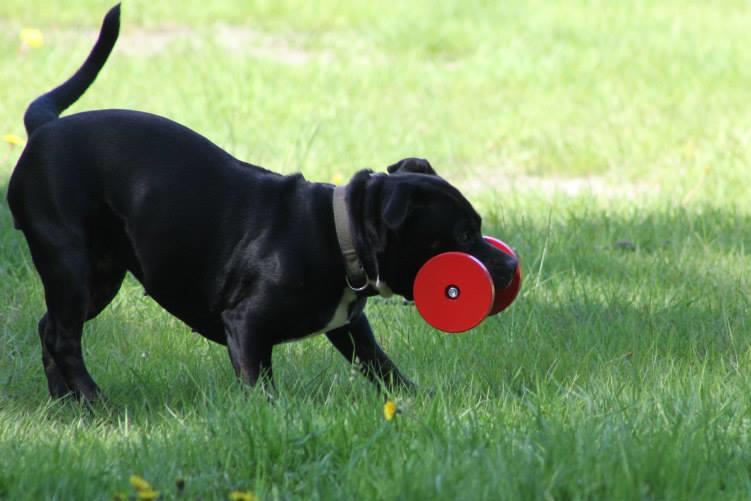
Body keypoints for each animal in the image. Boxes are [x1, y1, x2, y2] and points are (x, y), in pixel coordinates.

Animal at [7, 5, 516, 400]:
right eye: (463, 234)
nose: (511, 266)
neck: (340, 232)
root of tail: (45, 126)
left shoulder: (349, 326)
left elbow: (378, 362)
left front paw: (413, 397)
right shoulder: (247, 325)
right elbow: (259, 381)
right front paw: (269, 414)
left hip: (101, 276)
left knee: (49, 327)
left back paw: (65, 402)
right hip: (69, 263)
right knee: (64, 337)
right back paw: (93, 400)